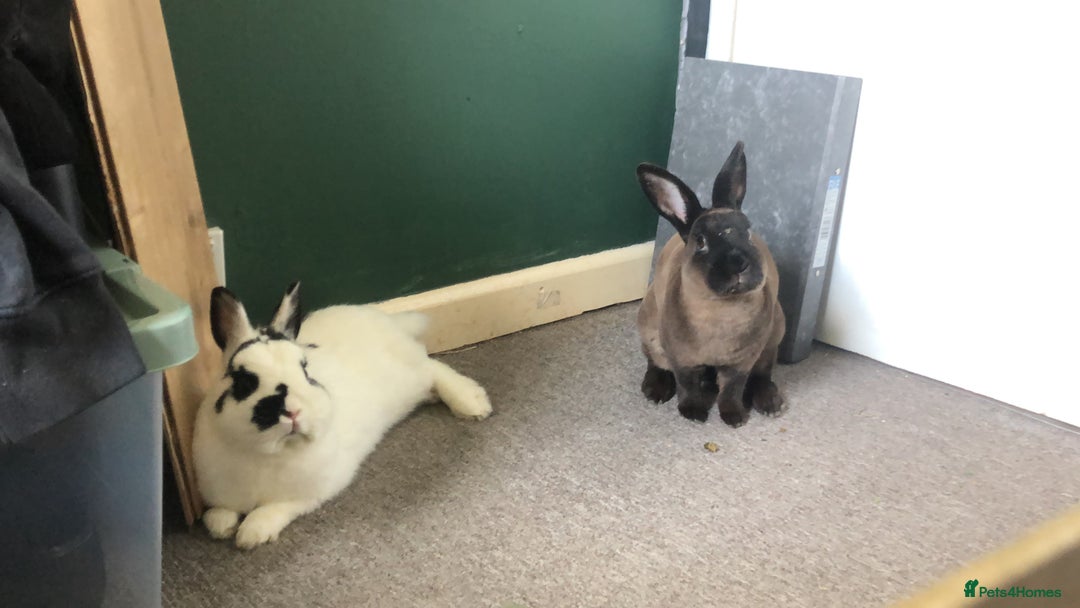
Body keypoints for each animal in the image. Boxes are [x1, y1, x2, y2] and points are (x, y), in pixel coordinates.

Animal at [193, 281, 492, 549]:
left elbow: (273, 510)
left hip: (411, 375)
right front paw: (221, 526)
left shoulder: (312, 493)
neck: (267, 454)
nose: (293, 412)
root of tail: (386, 320)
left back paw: (472, 403)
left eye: (305, 370)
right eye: (245, 382)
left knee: (433, 367)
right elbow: (218, 512)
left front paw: (251, 534)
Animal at [635, 141, 785, 426]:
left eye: (748, 232)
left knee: (763, 373)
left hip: (774, 336)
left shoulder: (741, 363)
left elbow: (731, 389)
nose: (739, 263)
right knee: (655, 362)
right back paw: (655, 391)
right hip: (649, 330)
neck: (721, 307)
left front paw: (734, 417)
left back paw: (771, 404)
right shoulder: (682, 358)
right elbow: (687, 384)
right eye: (701, 241)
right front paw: (693, 413)